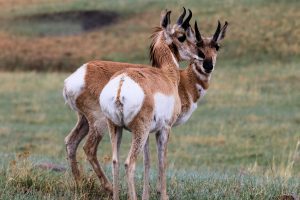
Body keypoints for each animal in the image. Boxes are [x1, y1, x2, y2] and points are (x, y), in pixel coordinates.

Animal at [99, 19, 229, 199]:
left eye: (217, 46)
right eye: (184, 37)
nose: (205, 61)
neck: (169, 76)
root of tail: (122, 81)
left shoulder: (148, 133)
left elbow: (147, 162)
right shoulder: (165, 128)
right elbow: (162, 162)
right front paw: (163, 194)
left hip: (116, 128)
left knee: (115, 161)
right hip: (139, 131)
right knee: (129, 163)